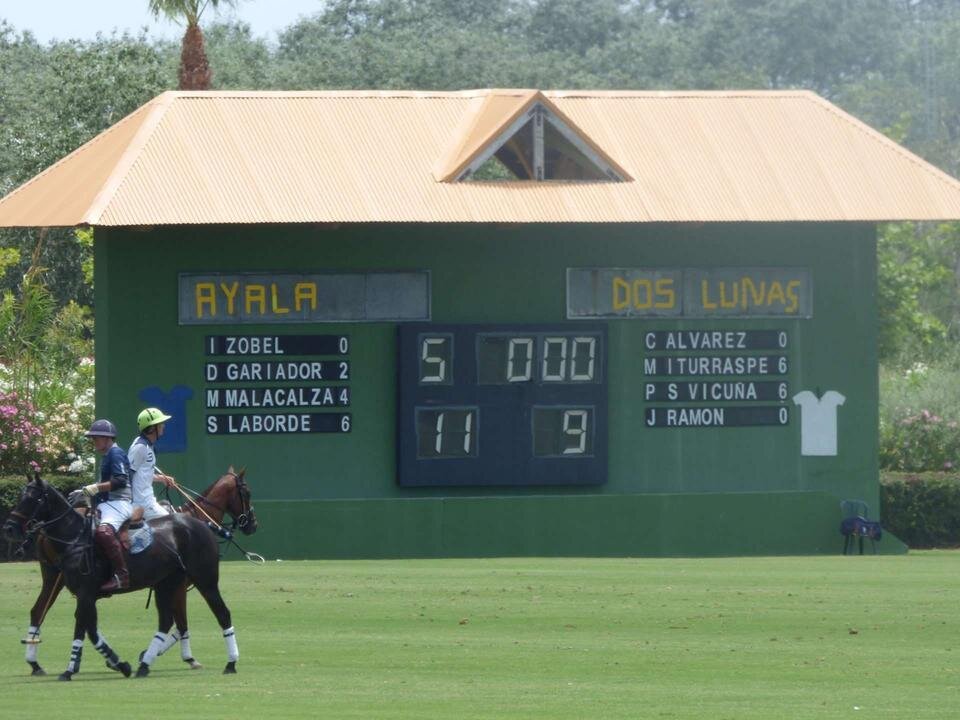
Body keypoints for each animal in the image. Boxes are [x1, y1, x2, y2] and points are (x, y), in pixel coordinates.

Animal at [16, 466, 256, 676]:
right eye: (247, 492)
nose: (252, 524)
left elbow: (178, 624)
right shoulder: (179, 586)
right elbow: (181, 625)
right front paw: (179, 657)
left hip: (55, 578)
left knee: (38, 611)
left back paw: (36, 663)